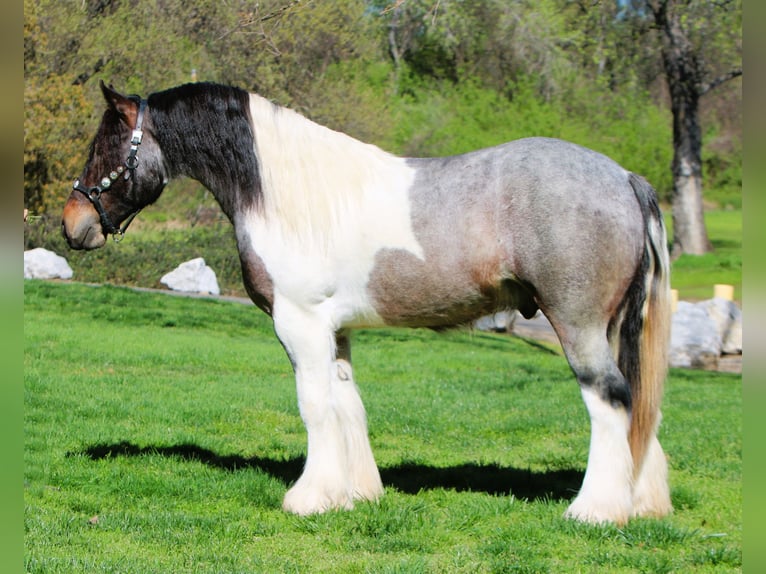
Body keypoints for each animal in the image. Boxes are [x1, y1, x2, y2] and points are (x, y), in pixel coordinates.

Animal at [61, 81, 672, 528]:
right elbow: (346, 404)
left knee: (611, 401)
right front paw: (353, 494)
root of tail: (623, 177)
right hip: (614, 328)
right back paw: (641, 503)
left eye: (106, 146)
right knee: (642, 406)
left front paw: (307, 498)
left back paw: (595, 511)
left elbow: (313, 405)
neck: (288, 197)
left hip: (579, 325)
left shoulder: (300, 323)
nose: (73, 223)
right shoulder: (336, 330)